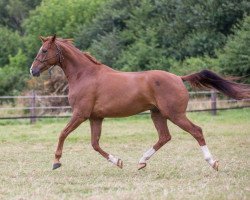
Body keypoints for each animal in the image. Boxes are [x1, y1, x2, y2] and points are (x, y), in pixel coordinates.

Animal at [30, 35, 249, 171]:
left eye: (44, 50)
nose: (33, 70)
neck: (85, 75)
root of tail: (178, 78)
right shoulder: (95, 118)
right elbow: (95, 144)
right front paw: (118, 161)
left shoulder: (80, 114)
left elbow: (63, 133)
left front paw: (56, 161)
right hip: (157, 114)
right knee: (164, 137)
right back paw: (141, 162)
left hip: (175, 114)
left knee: (197, 131)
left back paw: (213, 163)